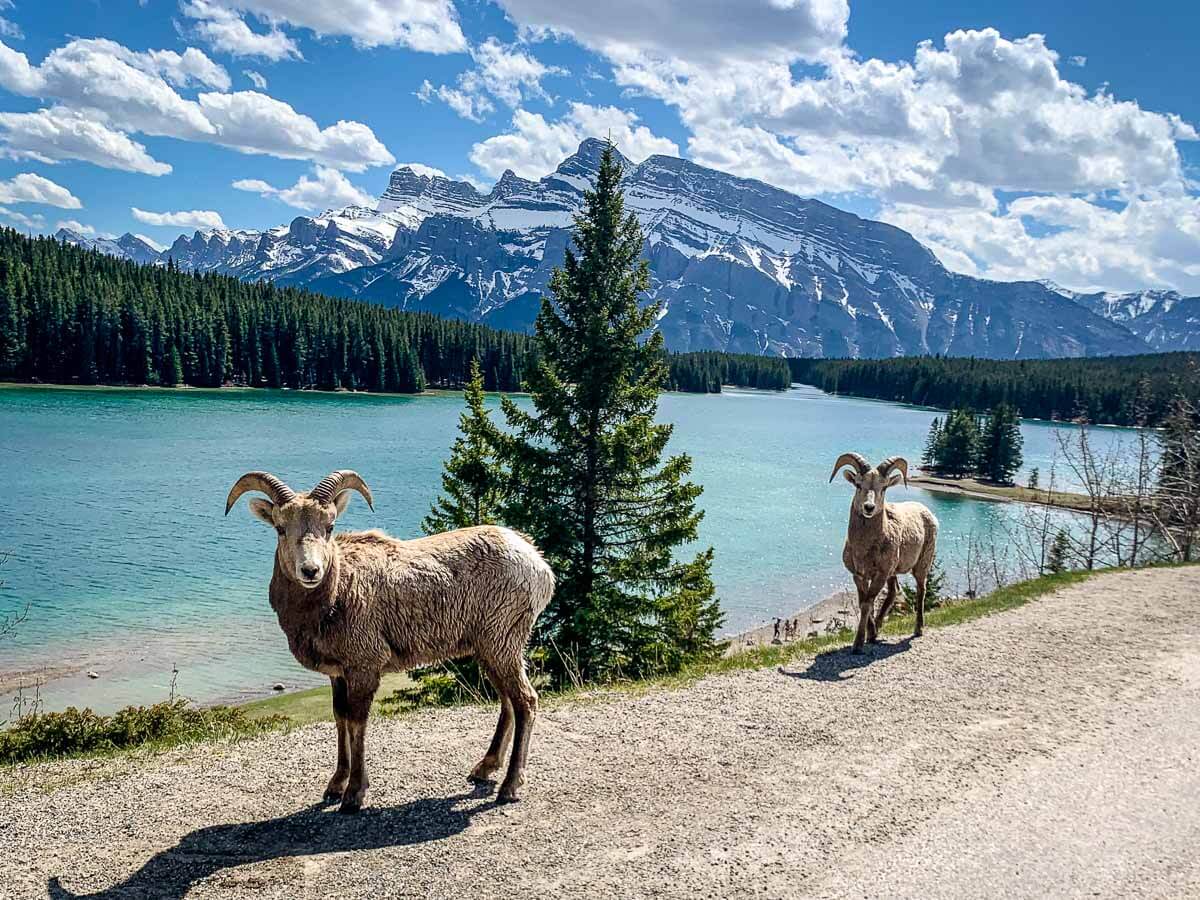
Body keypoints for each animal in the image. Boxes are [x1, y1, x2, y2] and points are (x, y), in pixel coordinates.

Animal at [225, 470, 555, 811]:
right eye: (280, 528)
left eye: (329, 527)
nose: (311, 571)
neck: (338, 594)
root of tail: (538, 563)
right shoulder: (338, 674)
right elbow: (341, 718)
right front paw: (335, 786)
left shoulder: (364, 667)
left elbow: (357, 723)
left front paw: (353, 795)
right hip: (492, 650)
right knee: (508, 702)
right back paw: (483, 769)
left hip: (502, 643)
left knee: (526, 701)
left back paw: (509, 787)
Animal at [828, 453, 939, 654]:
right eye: (858, 484)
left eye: (884, 487)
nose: (869, 507)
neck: (864, 549)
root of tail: (928, 512)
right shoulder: (860, 575)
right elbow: (865, 602)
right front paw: (871, 635)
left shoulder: (880, 574)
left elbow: (867, 603)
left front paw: (858, 644)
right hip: (893, 572)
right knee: (893, 592)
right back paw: (878, 629)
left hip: (921, 565)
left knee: (921, 591)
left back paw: (918, 629)